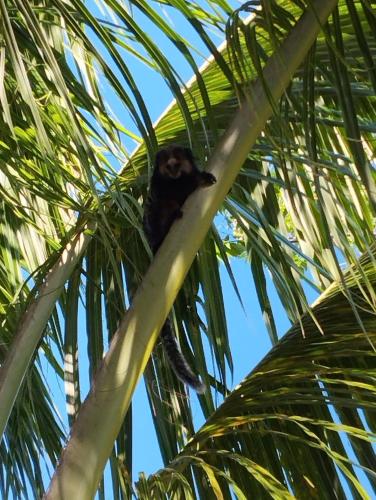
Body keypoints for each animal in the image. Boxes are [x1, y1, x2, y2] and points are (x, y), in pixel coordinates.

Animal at [143, 146, 216, 394]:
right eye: (168, 165)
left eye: (177, 163)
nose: (173, 170)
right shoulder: (159, 182)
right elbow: (164, 193)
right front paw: (197, 180)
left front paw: (202, 177)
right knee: (160, 206)